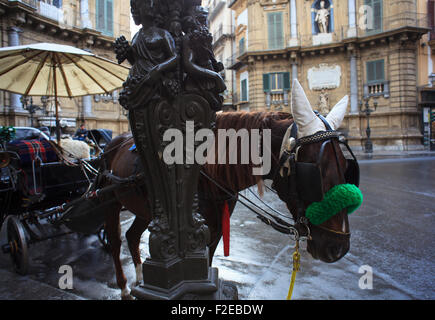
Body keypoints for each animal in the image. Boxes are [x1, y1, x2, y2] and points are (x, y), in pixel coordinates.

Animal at [98, 79, 354, 298]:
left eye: (346, 167)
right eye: (314, 173)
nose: (338, 247)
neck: (205, 174)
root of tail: (111, 144)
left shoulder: (213, 232)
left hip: (145, 210)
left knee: (132, 236)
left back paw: (139, 277)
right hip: (110, 203)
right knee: (115, 241)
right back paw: (123, 286)